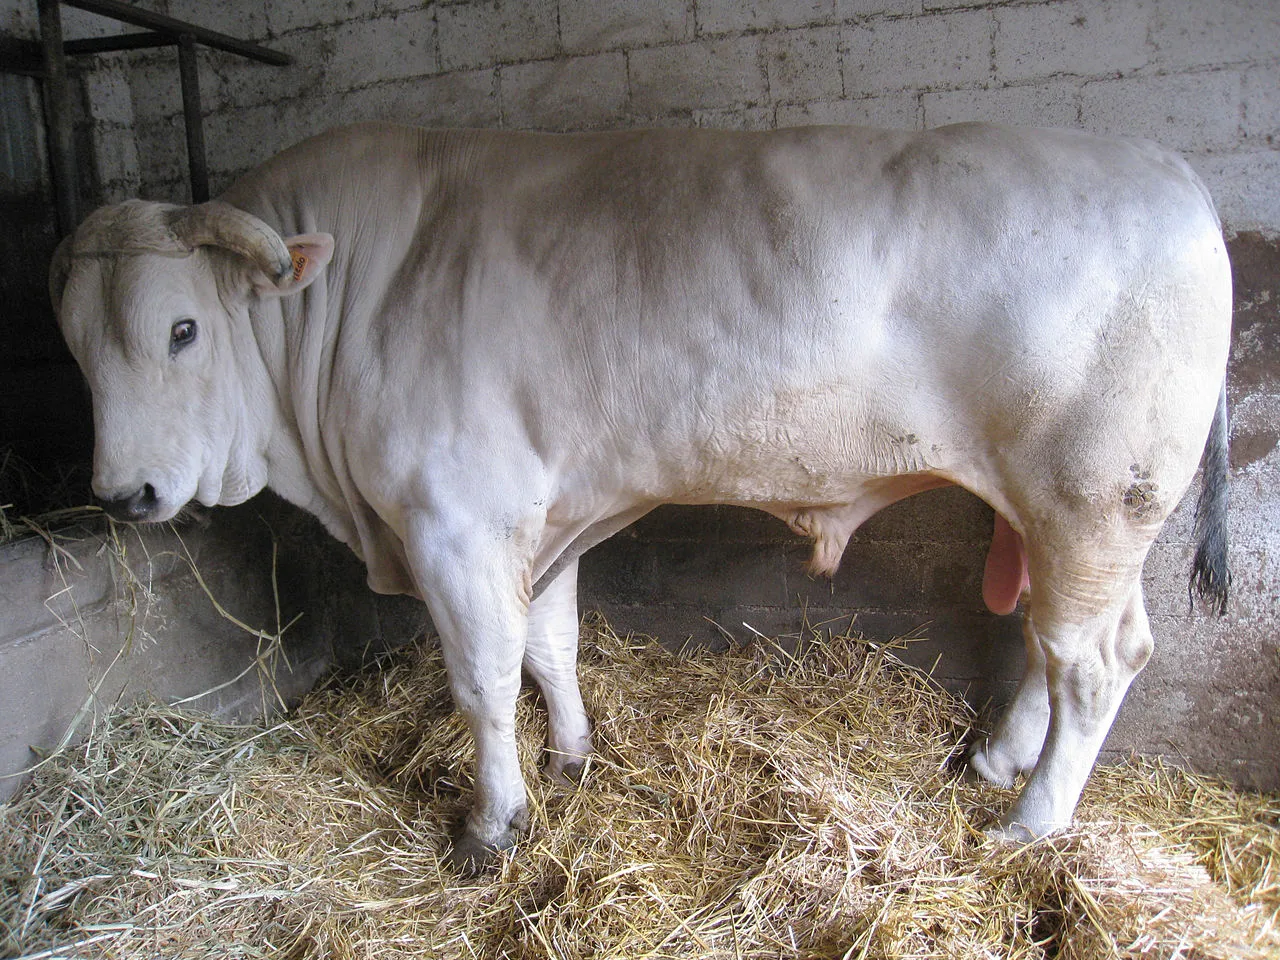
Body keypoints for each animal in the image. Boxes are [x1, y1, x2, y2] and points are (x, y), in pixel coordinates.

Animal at [50, 122, 1232, 874]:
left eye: (182, 329)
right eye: (74, 345)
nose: (124, 493)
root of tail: (1168, 167)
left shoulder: (455, 521)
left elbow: (482, 679)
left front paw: (493, 823)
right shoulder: (546, 515)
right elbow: (551, 642)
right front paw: (573, 755)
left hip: (1091, 496)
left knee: (1094, 660)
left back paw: (1029, 823)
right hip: (1058, 514)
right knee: (1051, 641)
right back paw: (995, 758)